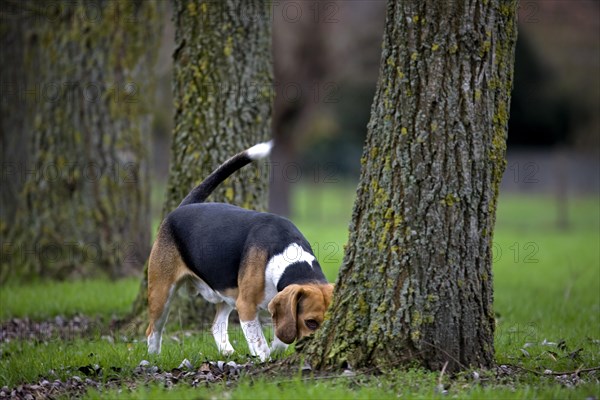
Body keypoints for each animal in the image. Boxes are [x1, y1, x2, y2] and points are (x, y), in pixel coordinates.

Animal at [145, 141, 332, 362]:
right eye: (310, 322)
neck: (284, 256)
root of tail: (183, 207)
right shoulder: (246, 306)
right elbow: (260, 342)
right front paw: (266, 358)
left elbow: (279, 339)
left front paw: (276, 349)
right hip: (162, 292)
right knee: (153, 330)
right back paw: (153, 357)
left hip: (227, 288)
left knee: (216, 325)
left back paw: (226, 350)